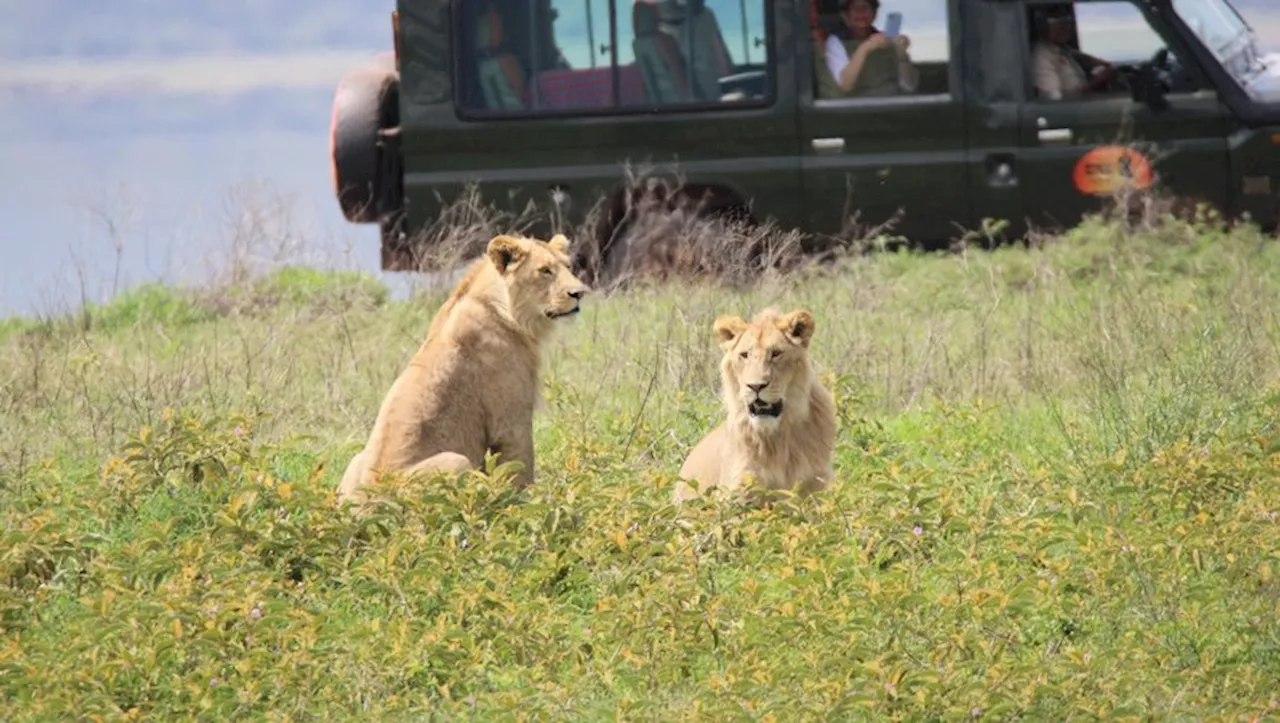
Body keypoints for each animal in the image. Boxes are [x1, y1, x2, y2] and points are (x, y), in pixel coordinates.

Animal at [332, 234, 586, 504]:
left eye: (568, 267)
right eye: (545, 271)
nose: (579, 293)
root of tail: (364, 503)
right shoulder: (511, 421)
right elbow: (520, 472)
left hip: (357, 459)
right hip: (457, 461)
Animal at [670, 305, 839, 501]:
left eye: (776, 353)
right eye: (744, 355)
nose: (755, 386)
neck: (778, 439)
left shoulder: (817, 487)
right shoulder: (736, 492)